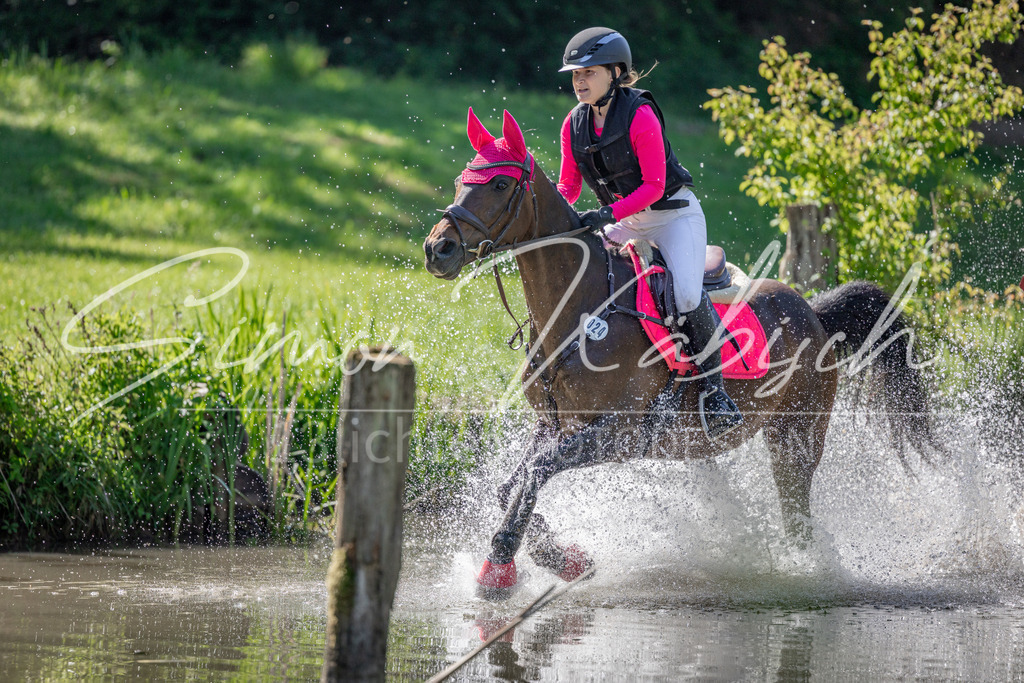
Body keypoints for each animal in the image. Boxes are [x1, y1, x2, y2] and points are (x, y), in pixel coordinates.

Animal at [423, 108, 939, 598]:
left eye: (501, 184)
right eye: (461, 180)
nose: (437, 249)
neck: (579, 308)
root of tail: (813, 311)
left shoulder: (618, 434)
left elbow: (535, 472)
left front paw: (499, 566)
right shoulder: (555, 425)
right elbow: (511, 483)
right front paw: (564, 559)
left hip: (796, 438)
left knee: (797, 516)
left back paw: (802, 574)